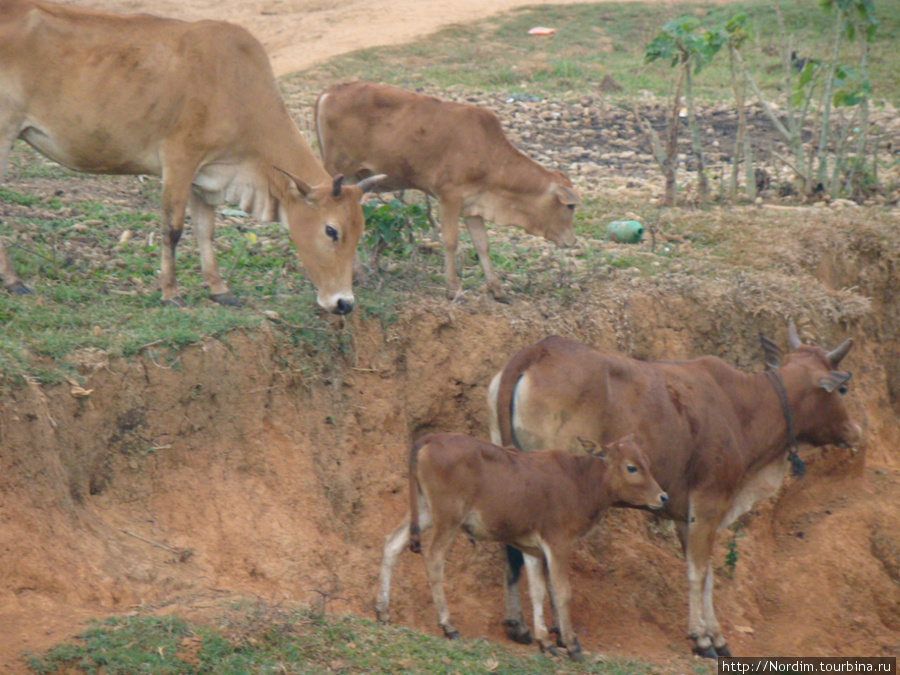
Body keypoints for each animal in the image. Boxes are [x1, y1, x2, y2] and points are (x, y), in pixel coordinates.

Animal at [0, 0, 384, 312]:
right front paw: (170, 293)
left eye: (359, 230)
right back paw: (15, 282)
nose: (344, 303)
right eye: (331, 230)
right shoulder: (179, 159)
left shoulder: (208, 174)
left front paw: (219, 289)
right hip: (5, 133)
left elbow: (205, 231)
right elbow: (172, 229)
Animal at [312, 80, 580, 302]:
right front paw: (454, 289)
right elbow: (451, 241)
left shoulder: (473, 205)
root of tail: (330, 90)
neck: (489, 155)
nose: (572, 240)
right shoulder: (449, 197)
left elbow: (482, 244)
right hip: (339, 172)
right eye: (570, 206)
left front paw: (497, 290)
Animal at [374, 434, 668, 660]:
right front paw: (571, 644)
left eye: (647, 463)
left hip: (424, 510)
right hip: (448, 518)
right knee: (434, 558)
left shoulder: (532, 548)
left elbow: (537, 591)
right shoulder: (558, 542)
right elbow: (562, 592)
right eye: (632, 467)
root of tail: (431, 438)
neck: (580, 482)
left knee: (391, 543)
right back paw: (448, 625)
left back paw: (383, 612)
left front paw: (545, 642)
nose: (662, 496)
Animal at [488, 324, 860, 656]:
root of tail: (539, 350)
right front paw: (703, 639)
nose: (855, 431)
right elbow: (699, 572)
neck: (742, 406)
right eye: (842, 391)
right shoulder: (709, 501)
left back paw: (522, 626)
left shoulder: (686, 515)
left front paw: (715, 637)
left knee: (514, 551)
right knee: (536, 561)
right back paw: (558, 636)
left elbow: (705, 574)